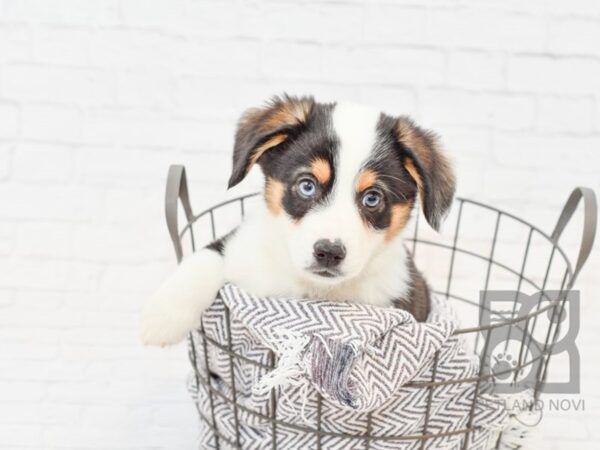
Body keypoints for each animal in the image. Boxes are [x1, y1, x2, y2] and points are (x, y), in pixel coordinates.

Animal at [141, 95, 454, 346]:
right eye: (307, 185)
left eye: (372, 198)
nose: (329, 252)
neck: (314, 290)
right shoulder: (241, 248)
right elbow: (206, 257)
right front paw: (161, 319)